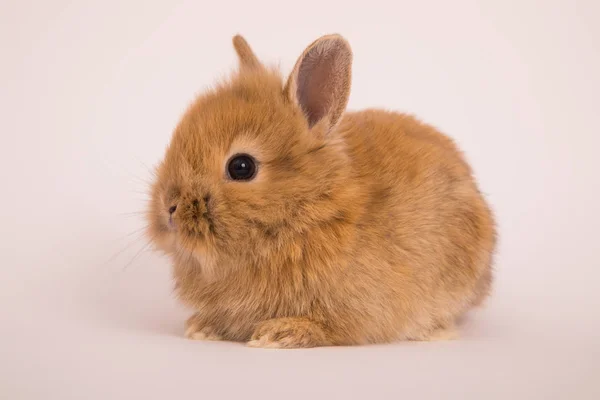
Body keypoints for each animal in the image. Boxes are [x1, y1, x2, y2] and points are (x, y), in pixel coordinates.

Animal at [146, 33, 496, 346]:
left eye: (241, 167)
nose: (169, 208)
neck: (313, 208)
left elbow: (330, 327)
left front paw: (280, 333)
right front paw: (201, 327)